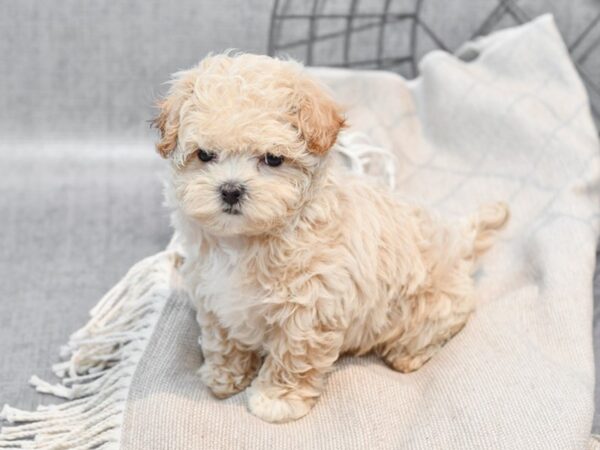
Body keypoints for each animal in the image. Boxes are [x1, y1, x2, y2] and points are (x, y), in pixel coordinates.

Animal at [152, 52, 508, 422]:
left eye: (273, 159)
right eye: (204, 155)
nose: (231, 190)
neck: (246, 241)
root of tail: (461, 241)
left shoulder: (310, 308)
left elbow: (292, 357)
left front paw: (277, 399)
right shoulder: (214, 297)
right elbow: (223, 340)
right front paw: (223, 376)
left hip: (430, 307)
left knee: (430, 332)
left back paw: (405, 355)